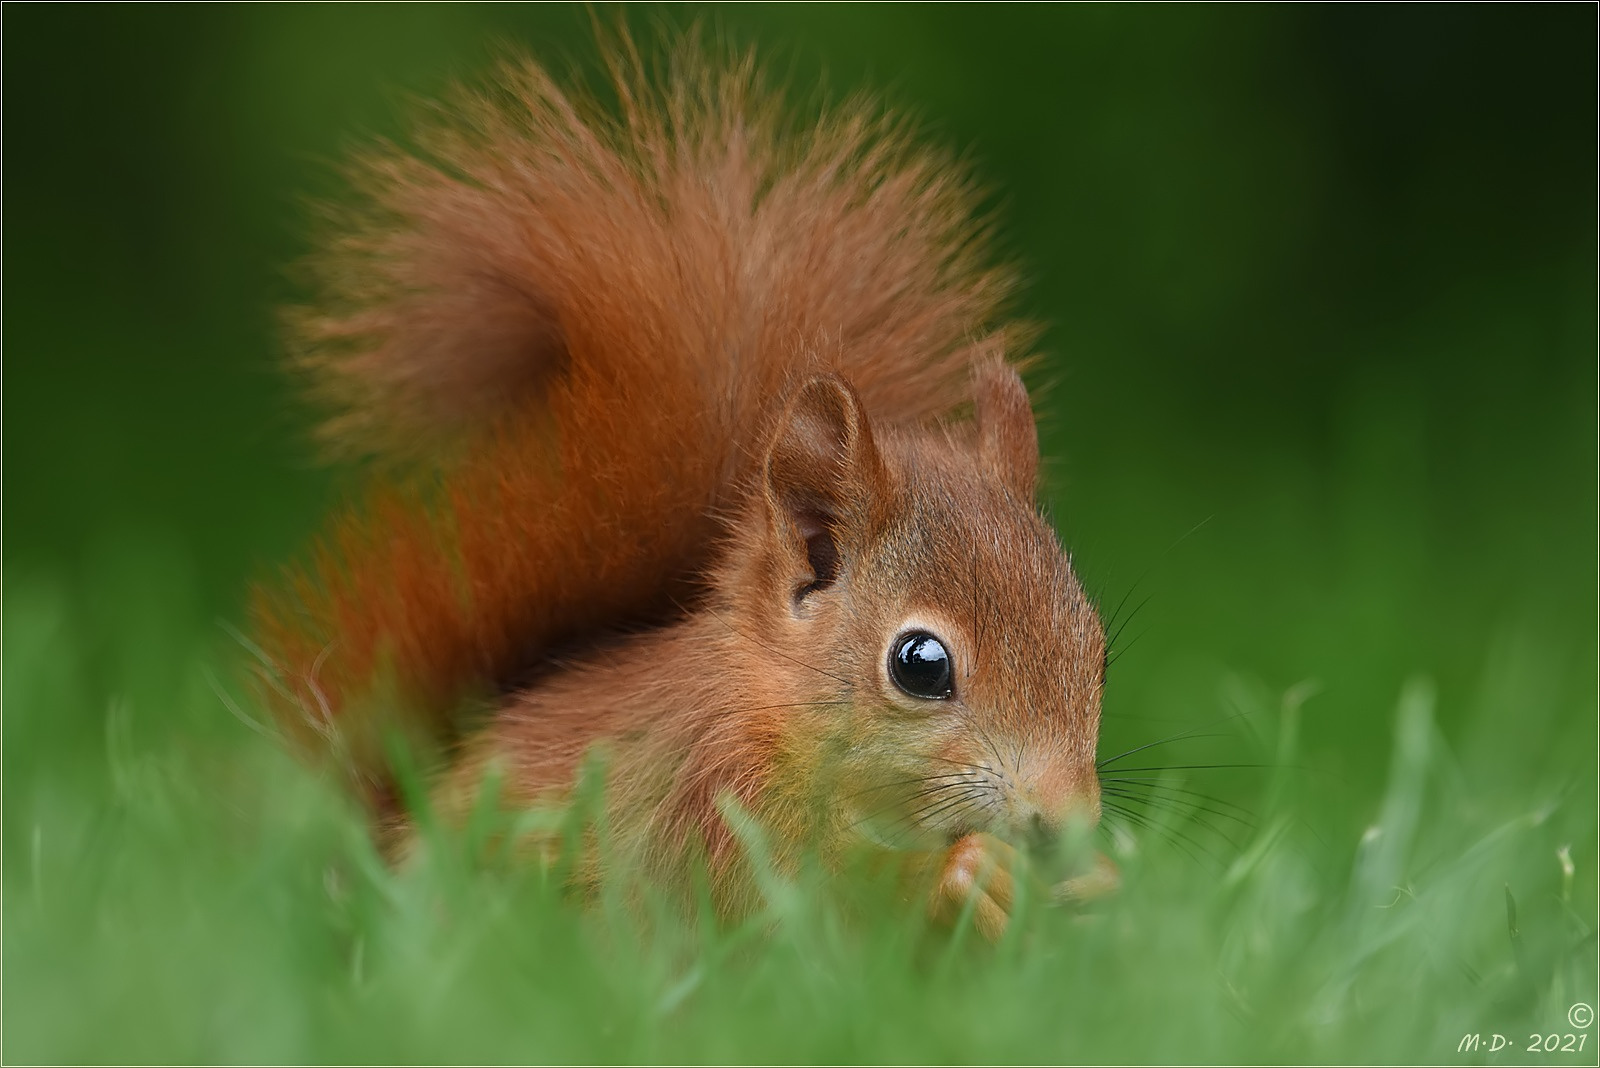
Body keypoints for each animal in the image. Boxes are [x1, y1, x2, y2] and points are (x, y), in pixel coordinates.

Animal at [252, 35, 1113, 933]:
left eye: (1098, 652)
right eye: (919, 664)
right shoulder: (711, 791)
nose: (1065, 825)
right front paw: (973, 875)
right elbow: (804, 904)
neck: (770, 706)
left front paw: (1092, 885)